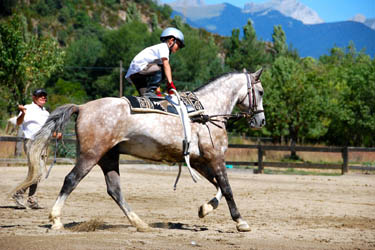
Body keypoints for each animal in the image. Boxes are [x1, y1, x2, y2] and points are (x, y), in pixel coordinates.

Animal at [27, 68, 266, 232]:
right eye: (261, 91)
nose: (261, 120)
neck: (208, 112)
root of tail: (83, 107)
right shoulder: (216, 158)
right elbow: (227, 188)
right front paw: (240, 221)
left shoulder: (200, 161)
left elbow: (218, 187)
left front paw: (205, 208)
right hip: (91, 155)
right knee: (71, 180)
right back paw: (56, 220)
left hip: (108, 157)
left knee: (114, 190)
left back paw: (140, 223)